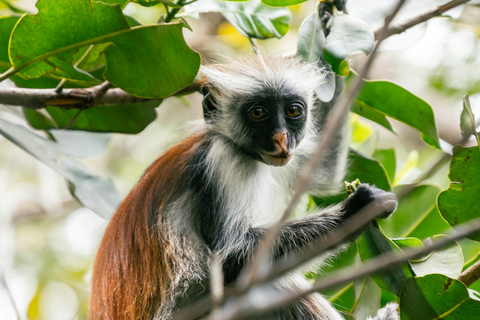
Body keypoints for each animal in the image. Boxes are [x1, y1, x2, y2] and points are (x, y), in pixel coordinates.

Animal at [89, 56, 398, 318]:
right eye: (258, 113)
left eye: (293, 110)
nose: (281, 138)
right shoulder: (224, 160)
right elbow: (231, 258)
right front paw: (357, 209)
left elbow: (324, 171)